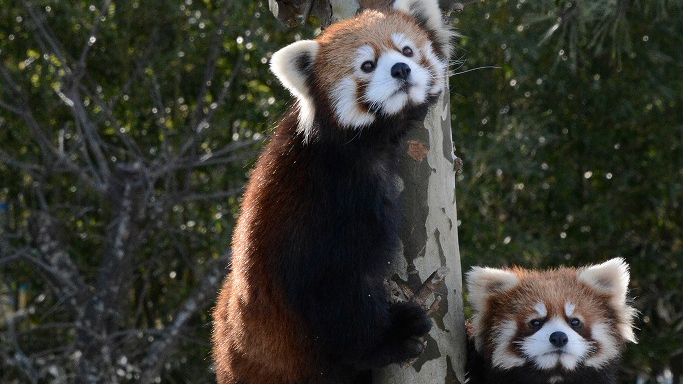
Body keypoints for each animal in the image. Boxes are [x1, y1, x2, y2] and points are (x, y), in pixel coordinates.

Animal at [211, 0, 452, 384]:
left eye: (407, 50)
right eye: (367, 65)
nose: (401, 69)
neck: (355, 147)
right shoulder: (326, 207)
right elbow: (333, 293)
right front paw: (393, 335)